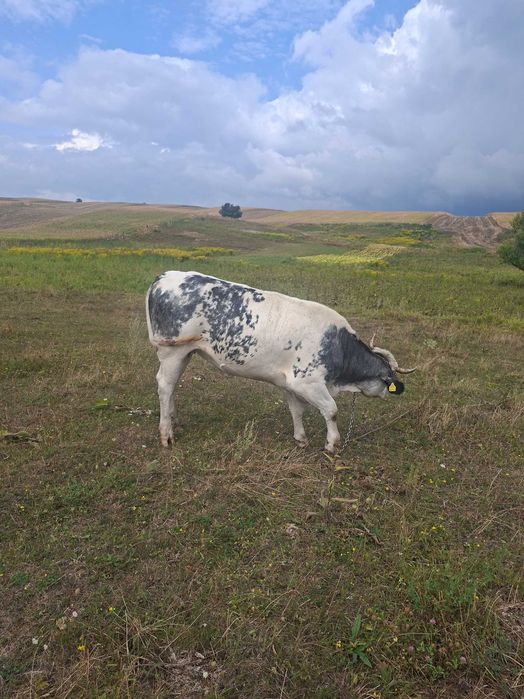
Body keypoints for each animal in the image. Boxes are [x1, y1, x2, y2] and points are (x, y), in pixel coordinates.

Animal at [146, 271, 415, 453]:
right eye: (387, 380)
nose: (389, 393)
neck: (338, 346)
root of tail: (164, 276)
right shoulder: (308, 382)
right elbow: (331, 410)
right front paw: (332, 444)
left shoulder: (290, 383)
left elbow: (296, 410)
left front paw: (301, 438)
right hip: (172, 351)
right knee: (164, 385)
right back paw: (166, 434)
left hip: (185, 353)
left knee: (172, 386)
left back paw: (174, 419)